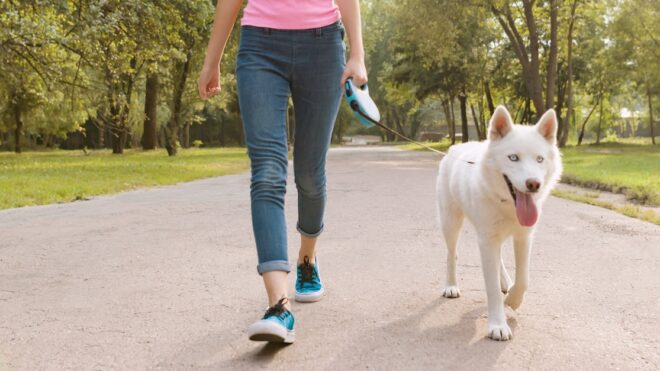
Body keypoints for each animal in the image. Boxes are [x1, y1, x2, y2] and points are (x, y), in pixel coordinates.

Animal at [438, 106, 564, 342]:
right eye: (513, 158)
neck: (507, 204)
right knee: (451, 254)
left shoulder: (524, 238)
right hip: (449, 223)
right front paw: (497, 325)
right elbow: (492, 289)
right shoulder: (487, 241)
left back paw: (505, 283)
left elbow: (523, 279)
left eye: (540, 159)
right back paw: (451, 286)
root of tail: (456, 146)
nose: (534, 184)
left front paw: (513, 299)